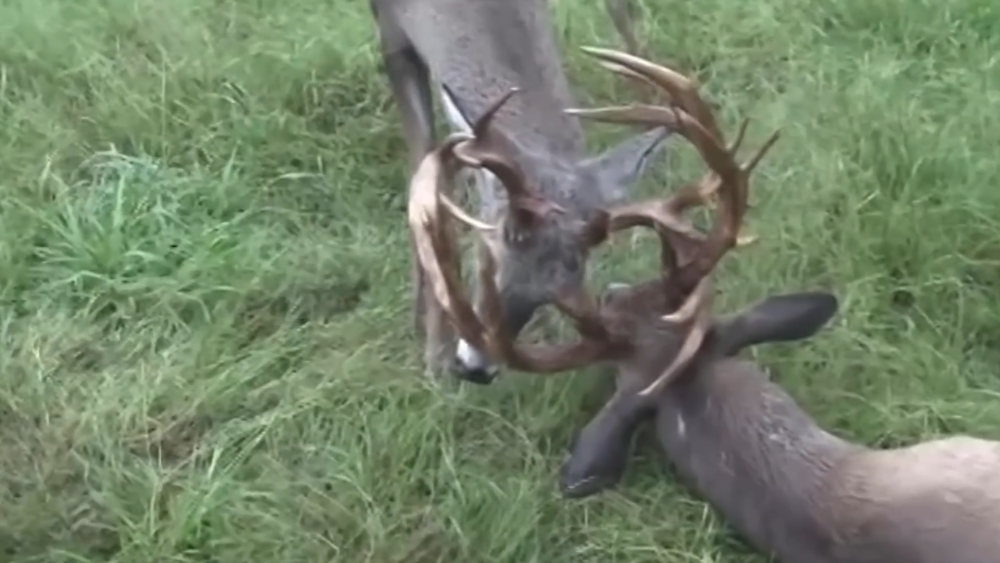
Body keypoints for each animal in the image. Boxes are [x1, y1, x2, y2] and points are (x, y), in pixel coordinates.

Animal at [370, 0, 672, 384]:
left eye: (575, 275)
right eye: (492, 246)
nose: (478, 367)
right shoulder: (390, 31)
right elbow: (424, 164)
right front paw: (434, 356)